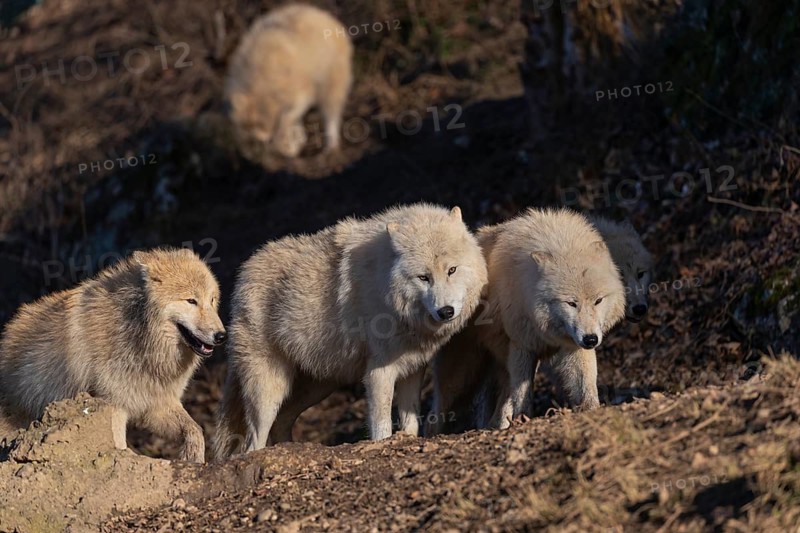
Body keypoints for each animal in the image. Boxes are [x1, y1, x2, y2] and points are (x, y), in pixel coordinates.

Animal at [0, 248, 226, 462]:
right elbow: (120, 448)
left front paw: (193, 459)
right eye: (191, 301)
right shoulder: (115, 405)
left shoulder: (155, 404)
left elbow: (195, 430)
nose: (221, 336)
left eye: (212, 299)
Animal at [213, 204, 487, 457]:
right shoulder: (379, 373)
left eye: (452, 270)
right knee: (252, 444)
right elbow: (381, 426)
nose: (446, 311)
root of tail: (244, 272)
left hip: (319, 386)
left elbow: (410, 423)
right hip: (269, 392)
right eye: (424, 277)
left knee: (281, 421)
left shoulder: (413, 369)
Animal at [225, 4, 353, 157]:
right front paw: (295, 142)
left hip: (331, 87)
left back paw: (331, 147)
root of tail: (329, 19)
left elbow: (284, 126)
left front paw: (289, 145)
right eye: (248, 126)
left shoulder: (300, 96)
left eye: (259, 123)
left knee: (332, 115)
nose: (260, 142)